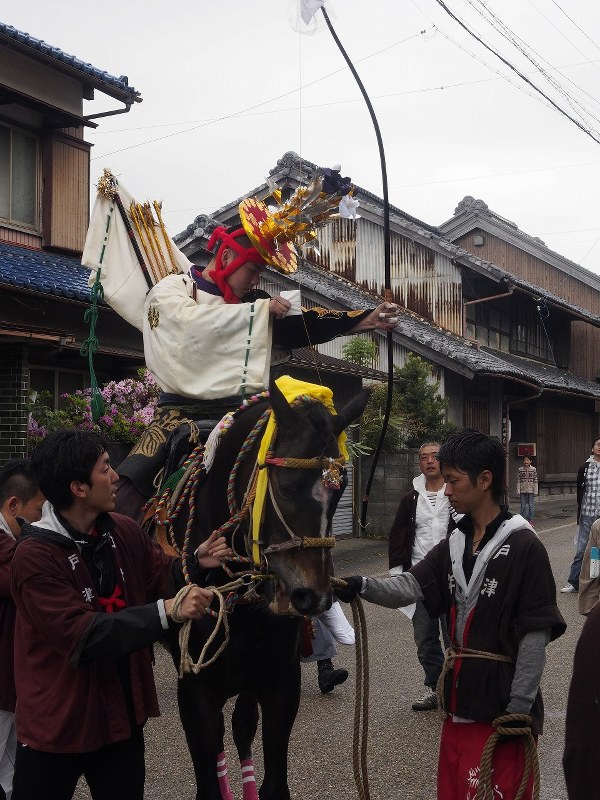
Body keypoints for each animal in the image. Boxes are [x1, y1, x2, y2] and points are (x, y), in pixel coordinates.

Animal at [121, 380, 368, 800]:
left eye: (341, 490)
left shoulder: (278, 679)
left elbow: (271, 777)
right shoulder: (196, 685)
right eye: (284, 486)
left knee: (239, 727)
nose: (312, 595)